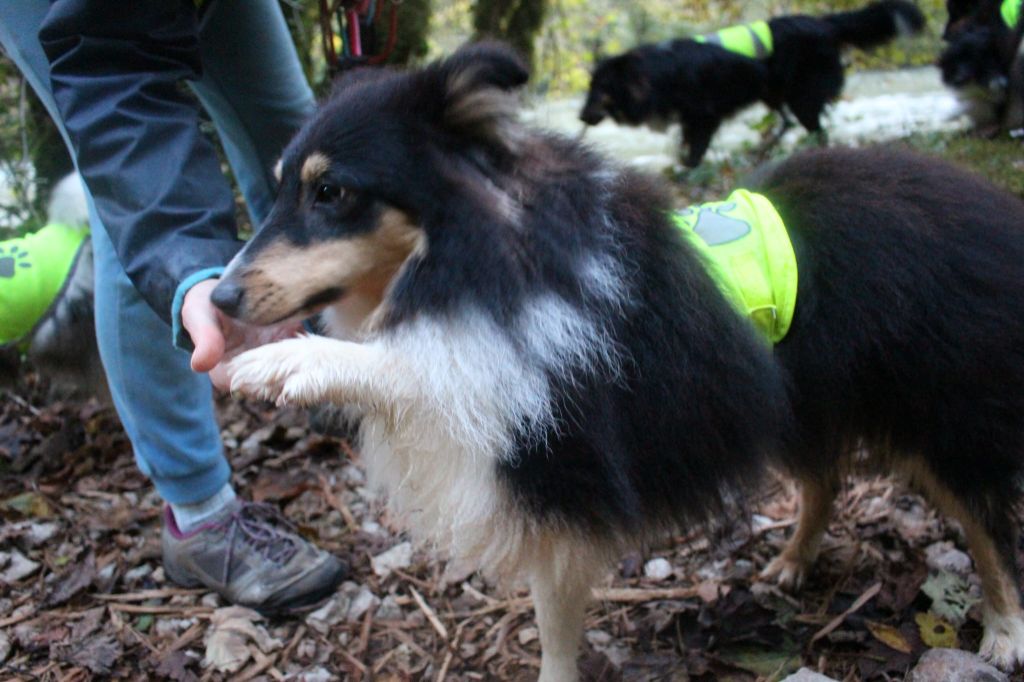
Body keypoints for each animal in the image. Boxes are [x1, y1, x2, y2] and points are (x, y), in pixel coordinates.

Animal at [211, 43, 1024, 675]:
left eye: (331, 190)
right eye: (281, 187)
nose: (217, 298)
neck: (485, 259)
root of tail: (983, 202)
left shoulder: (551, 430)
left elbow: (426, 366)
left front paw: (292, 364)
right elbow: (553, 617)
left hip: (943, 417)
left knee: (988, 526)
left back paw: (1005, 631)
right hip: (794, 404)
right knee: (825, 479)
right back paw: (795, 560)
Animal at [581, 1, 925, 166]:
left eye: (600, 91)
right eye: (589, 88)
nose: (581, 116)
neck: (655, 76)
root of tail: (823, 23)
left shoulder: (705, 117)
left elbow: (692, 156)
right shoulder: (691, 121)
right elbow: (684, 149)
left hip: (802, 97)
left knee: (816, 130)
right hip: (773, 93)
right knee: (787, 122)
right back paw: (766, 148)